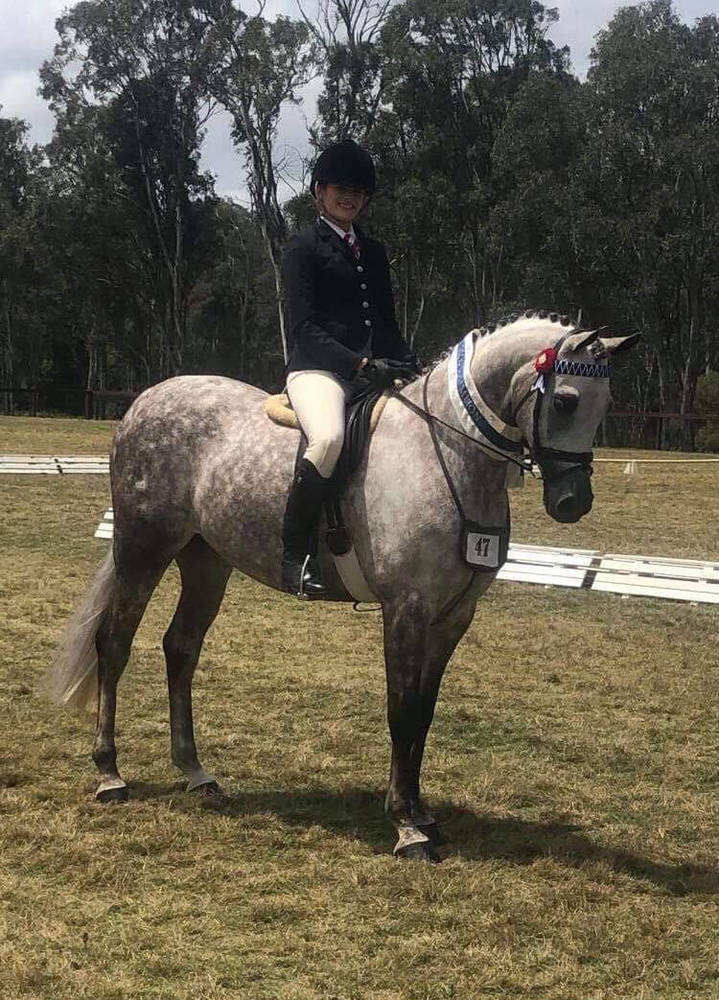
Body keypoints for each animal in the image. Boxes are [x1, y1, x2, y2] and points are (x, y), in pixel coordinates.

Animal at [44, 312, 638, 861]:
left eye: (606, 402)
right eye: (565, 401)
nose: (572, 503)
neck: (448, 452)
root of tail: (144, 401)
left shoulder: (453, 615)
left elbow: (424, 711)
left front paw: (422, 812)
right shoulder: (407, 608)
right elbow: (401, 710)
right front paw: (405, 827)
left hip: (206, 561)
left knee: (181, 648)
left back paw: (195, 772)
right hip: (143, 550)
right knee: (114, 645)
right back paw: (110, 774)